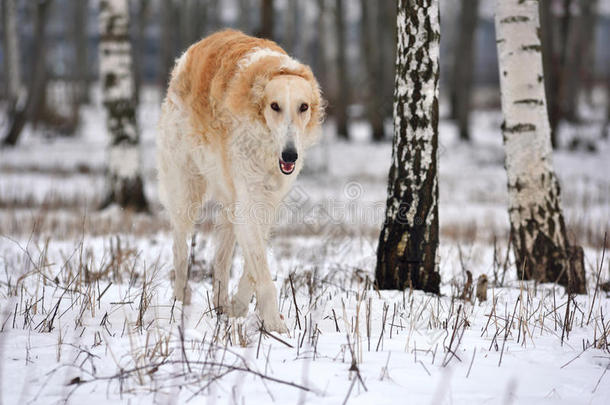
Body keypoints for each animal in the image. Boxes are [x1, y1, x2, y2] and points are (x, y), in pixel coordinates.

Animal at [156, 29, 324, 332]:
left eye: (303, 107)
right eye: (275, 106)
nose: (290, 155)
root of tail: (192, 50)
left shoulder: (265, 202)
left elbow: (253, 268)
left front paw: (240, 306)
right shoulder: (249, 200)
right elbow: (262, 272)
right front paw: (275, 326)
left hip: (229, 205)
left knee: (220, 260)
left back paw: (221, 305)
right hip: (186, 192)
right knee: (180, 249)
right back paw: (180, 302)